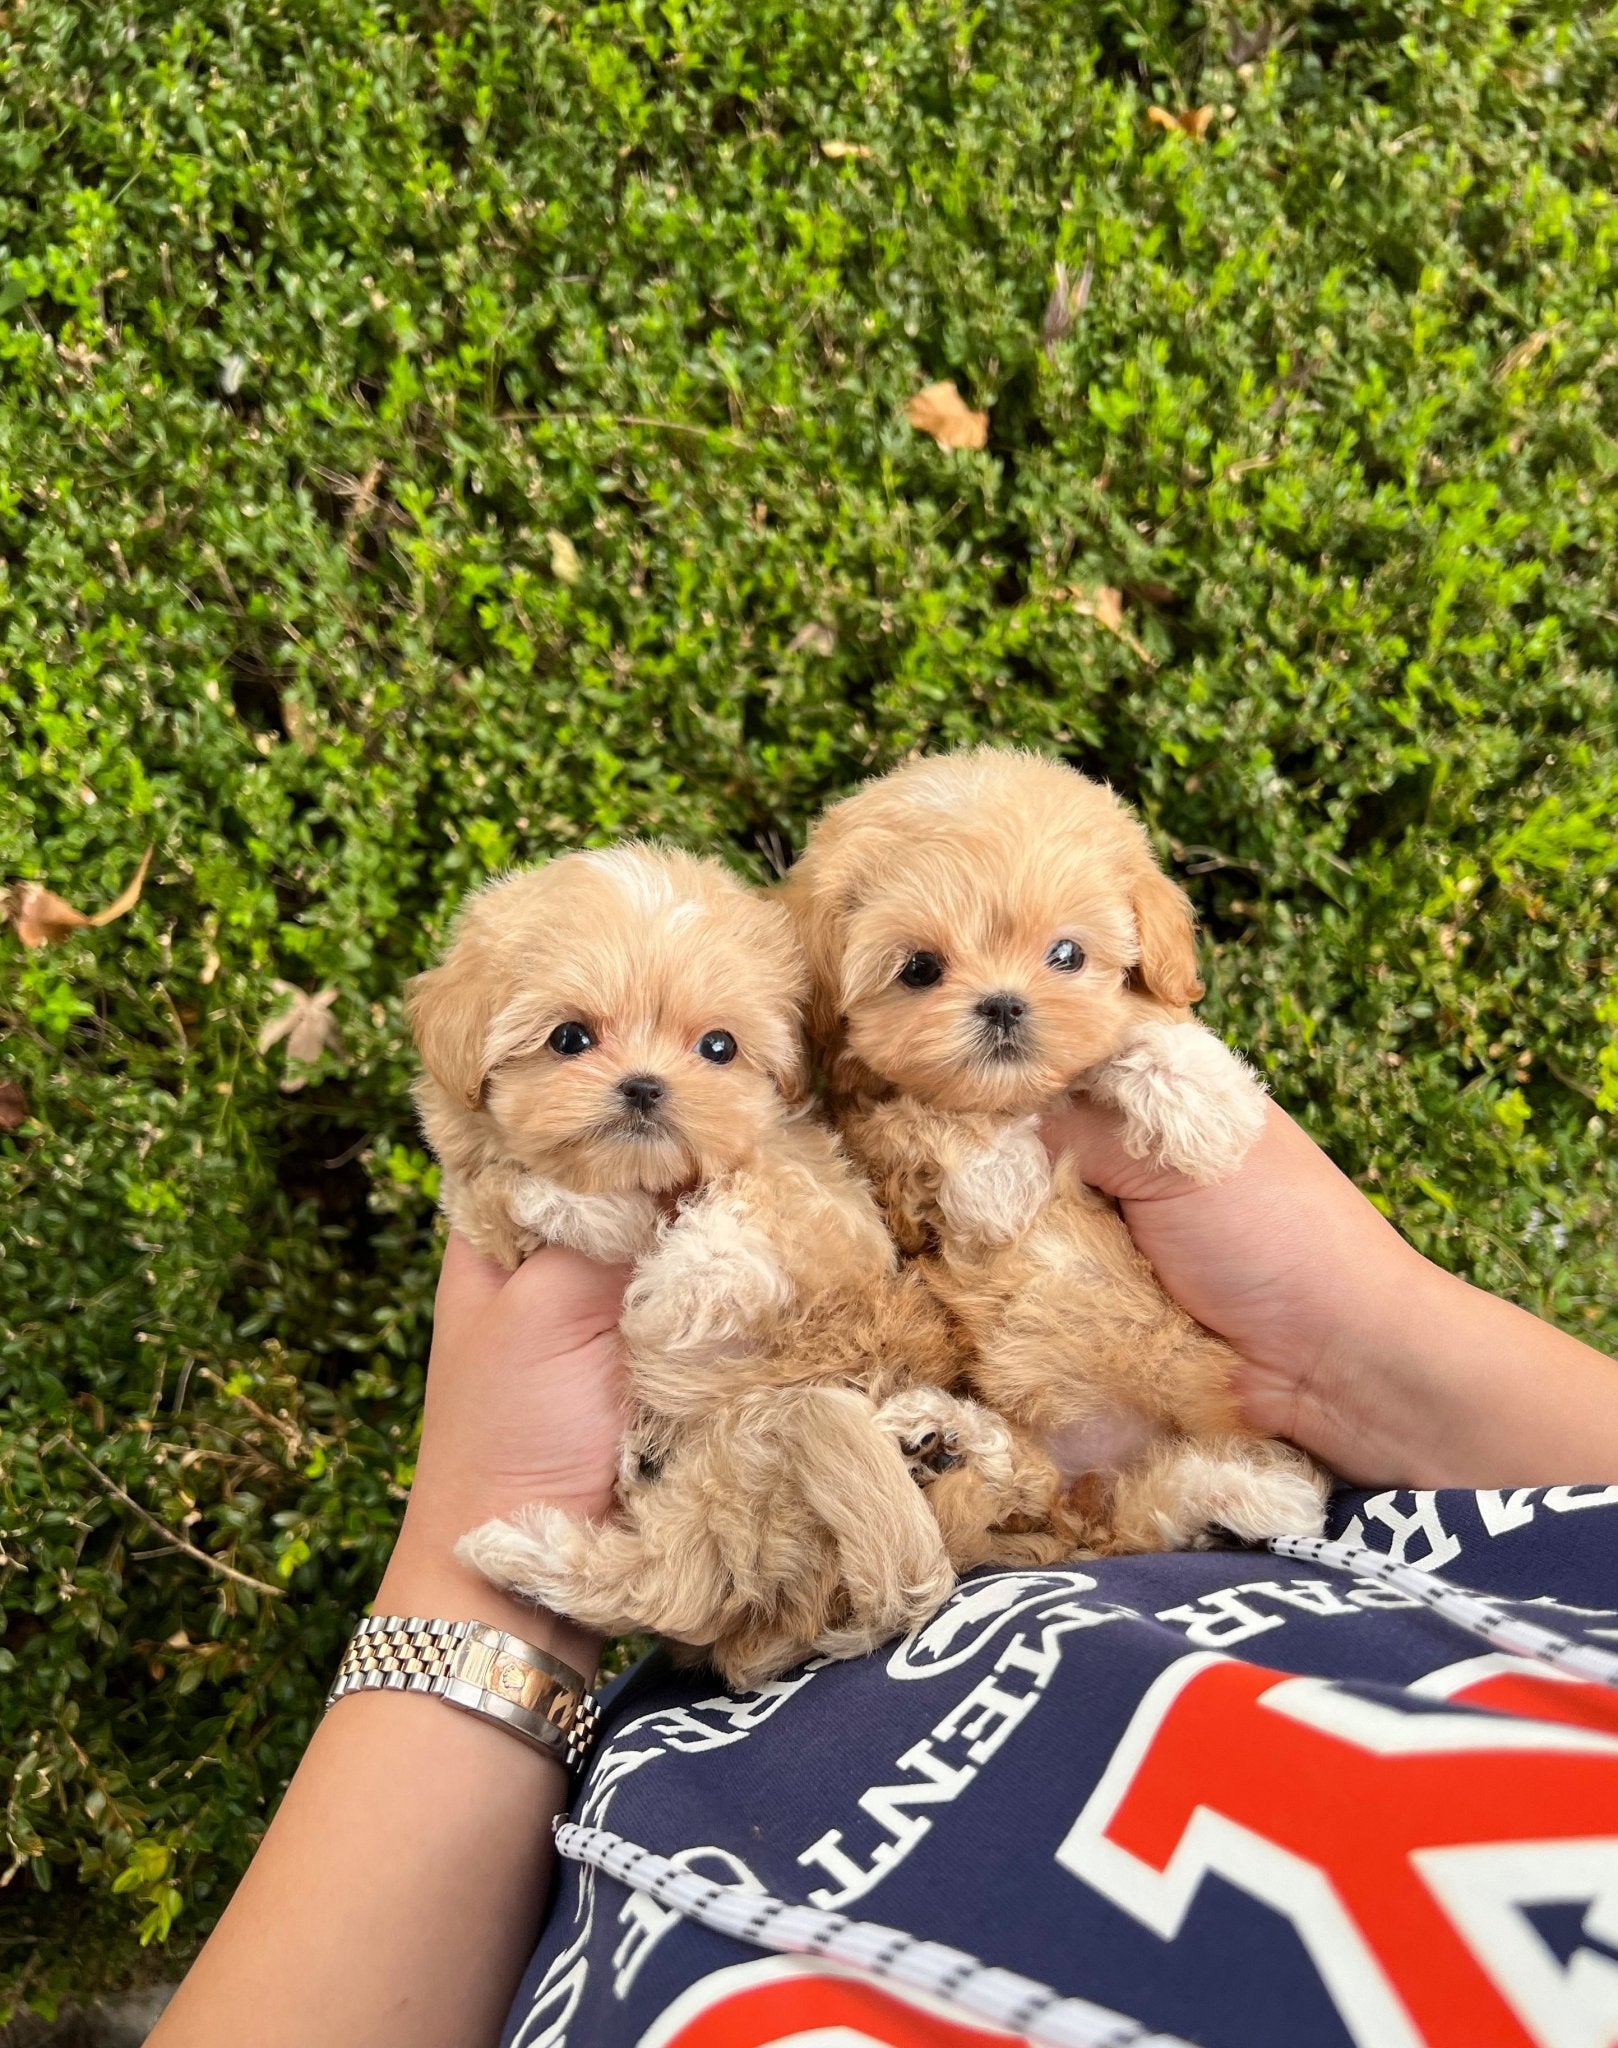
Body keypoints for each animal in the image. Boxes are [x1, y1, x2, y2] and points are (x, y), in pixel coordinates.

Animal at [405, 839, 1073, 1687]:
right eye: (568, 1039)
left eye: (717, 1047)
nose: (644, 1087)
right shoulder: (485, 1214)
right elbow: (499, 1196)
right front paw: (572, 1205)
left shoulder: (806, 1184)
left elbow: (751, 1218)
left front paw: (677, 1263)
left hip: (749, 1464)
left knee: (671, 1584)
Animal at [786, 753, 1327, 1548]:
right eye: (919, 969)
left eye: (1066, 954)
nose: (1004, 1004)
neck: (1018, 1097)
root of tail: (1093, 1491)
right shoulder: (877, 1141)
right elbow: (926, 1122)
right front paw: (1001, 1180)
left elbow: (1147, 1027)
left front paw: (1204, 1108)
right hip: (1048, 1463)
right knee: (1027, 1472)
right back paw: (943, 1440)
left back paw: (1252, 1496)